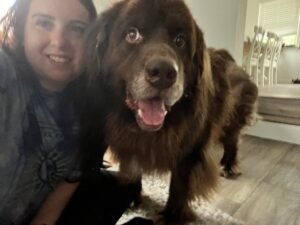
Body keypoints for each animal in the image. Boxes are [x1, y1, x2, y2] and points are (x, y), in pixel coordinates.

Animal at [79, 0, 258, 224]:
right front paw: (132, 196)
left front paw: (171, 216)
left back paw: (228, 165)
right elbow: (133, 168)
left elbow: (179, 186)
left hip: (231, 118)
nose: (164, 73)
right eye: (132, 34)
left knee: (232, 141)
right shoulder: (129, 142)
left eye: (180, 40)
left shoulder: (189, 150)